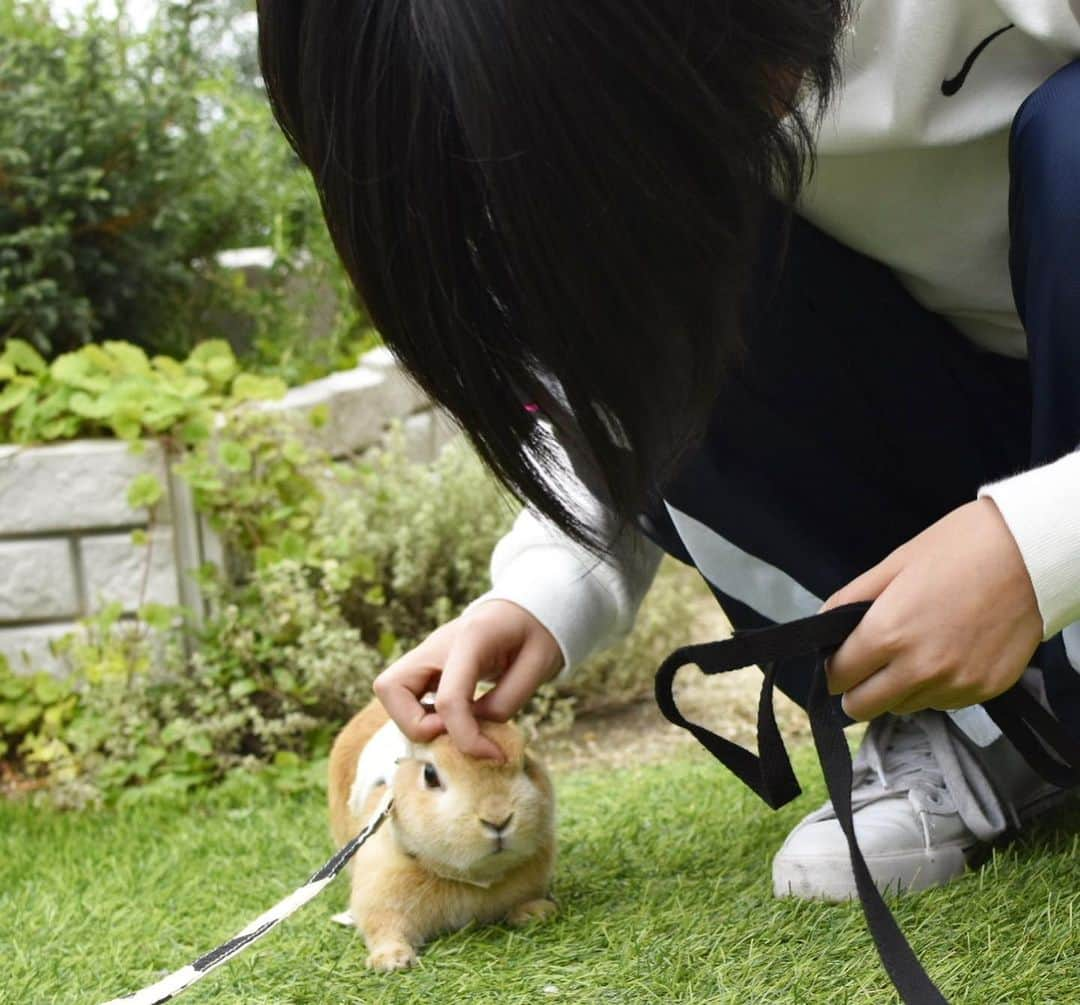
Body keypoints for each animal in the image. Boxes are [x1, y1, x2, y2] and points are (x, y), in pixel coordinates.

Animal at [326, 699, 557, 975]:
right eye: (430, 775)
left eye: (526, 764)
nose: (497, 819)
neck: (471, 878)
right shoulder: (380, 895)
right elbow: (384, 928)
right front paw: (391, 960)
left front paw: (537, 912)